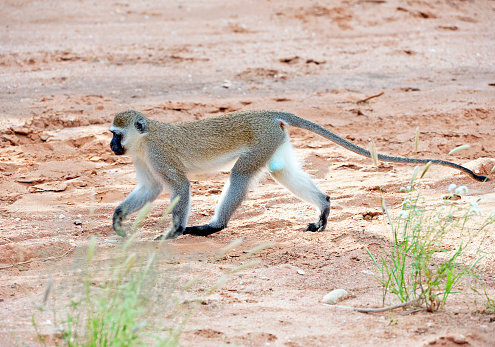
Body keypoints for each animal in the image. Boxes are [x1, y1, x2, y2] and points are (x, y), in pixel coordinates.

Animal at [110, 110, 490, 241]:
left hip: (262, 140)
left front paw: (172, 232)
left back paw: (215, 226)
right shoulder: (143, 160)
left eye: (116, 133)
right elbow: (150, 188)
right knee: (282, 172)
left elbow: (179, 186)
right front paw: (117, 219)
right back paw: (323, 208)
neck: (144, 138)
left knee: (240, 174)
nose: (112, 146)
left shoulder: (158, 154)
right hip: (274, 142)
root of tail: (268, 114)